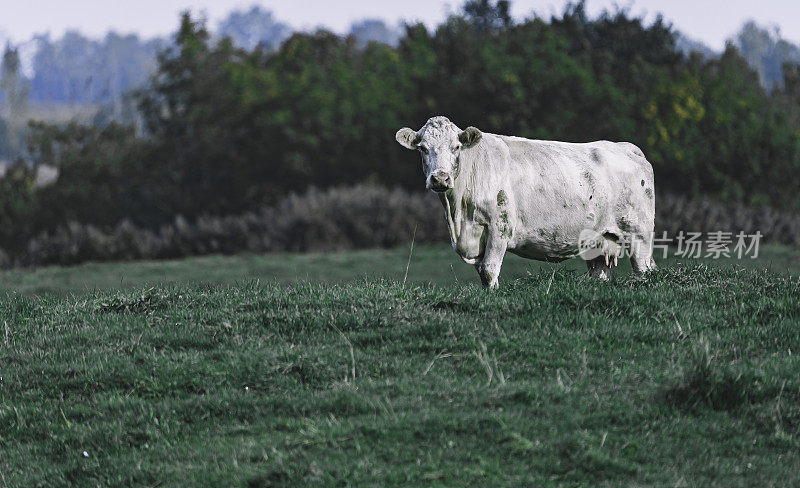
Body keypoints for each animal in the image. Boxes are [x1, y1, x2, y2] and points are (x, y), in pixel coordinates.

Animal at [396, 116, 656, 288]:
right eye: (423, 148)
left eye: (456, 147)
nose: (440, 178)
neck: (459, 215)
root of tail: (624, 147)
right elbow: (482, 272)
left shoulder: (500, 227)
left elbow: (489, 270)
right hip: (599, 242)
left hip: (639, 234)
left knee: (645, 269)